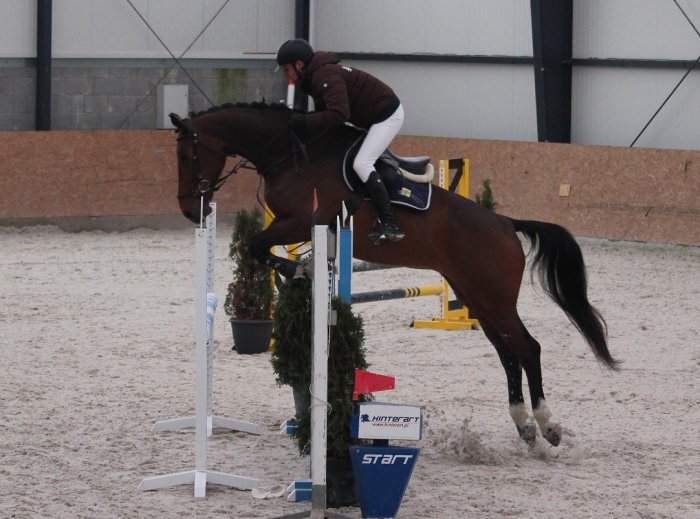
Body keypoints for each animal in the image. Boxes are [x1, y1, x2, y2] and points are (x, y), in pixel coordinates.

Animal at [170, 101, 618, 448]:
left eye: (186, 156)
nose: (190, 210)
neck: (290, 152)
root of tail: (506, 224)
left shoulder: (300, 220)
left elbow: (255, 245)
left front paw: (294, 267)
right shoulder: (296, 224)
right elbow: (259, 248)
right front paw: (298, 269)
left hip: (495, 298)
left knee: (528, 349)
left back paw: (546, 425)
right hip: (476, 296)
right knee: (508, 354)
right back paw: (523, 426)